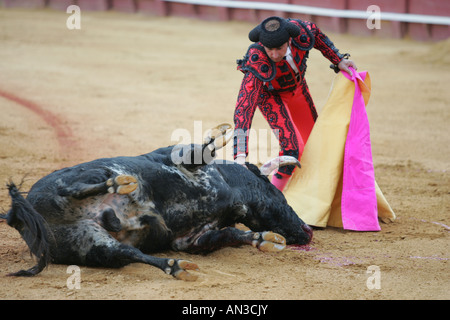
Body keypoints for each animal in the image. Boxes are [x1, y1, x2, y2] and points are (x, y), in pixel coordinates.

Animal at [1, 124, 312, 280]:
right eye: (279, 194)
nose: (307, 231)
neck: (230, 187)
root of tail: (21, 215)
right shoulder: (183, 160)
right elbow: (200, 150)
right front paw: (220, 134)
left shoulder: (191, 240)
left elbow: (230, 234)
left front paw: (264, 239)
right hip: (82, 178)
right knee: (71, 189)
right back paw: (119, 184)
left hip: (89, 243)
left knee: (128, 253)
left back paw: (176, 267)